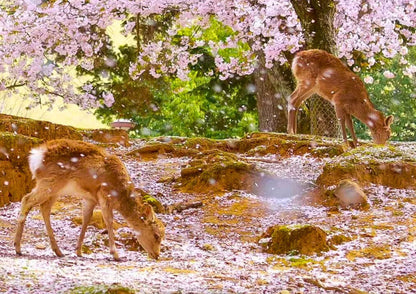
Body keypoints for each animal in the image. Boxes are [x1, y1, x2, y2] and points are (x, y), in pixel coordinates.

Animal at [14, 139, 164, 260]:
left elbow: (86, 219)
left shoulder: (90, 199)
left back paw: (58, 251)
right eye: (156, 235)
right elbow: (109, 221)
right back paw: (18, 247)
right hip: (49, 182)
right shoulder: (104, 195)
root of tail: (35, 155)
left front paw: (79, 251)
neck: (120, 195)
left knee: (44, 207)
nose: (157, 255)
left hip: (55, 189)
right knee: (26, 199)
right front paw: (116, 254)